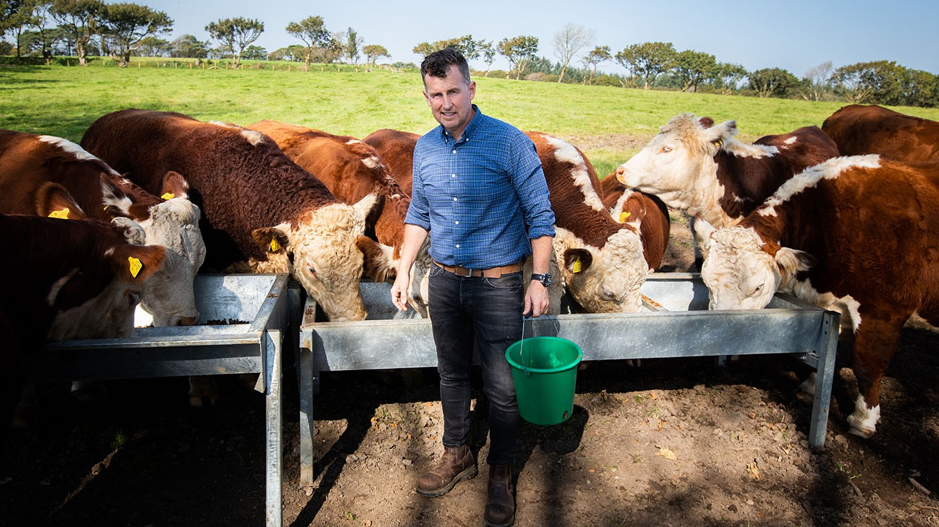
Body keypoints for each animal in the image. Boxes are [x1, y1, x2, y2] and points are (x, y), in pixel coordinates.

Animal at [692, 156, 939, 438]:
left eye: (757, 287)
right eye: (707, 281)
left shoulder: (883, 310)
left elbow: (867, 365)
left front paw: (863, 420)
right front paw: (811, 384)